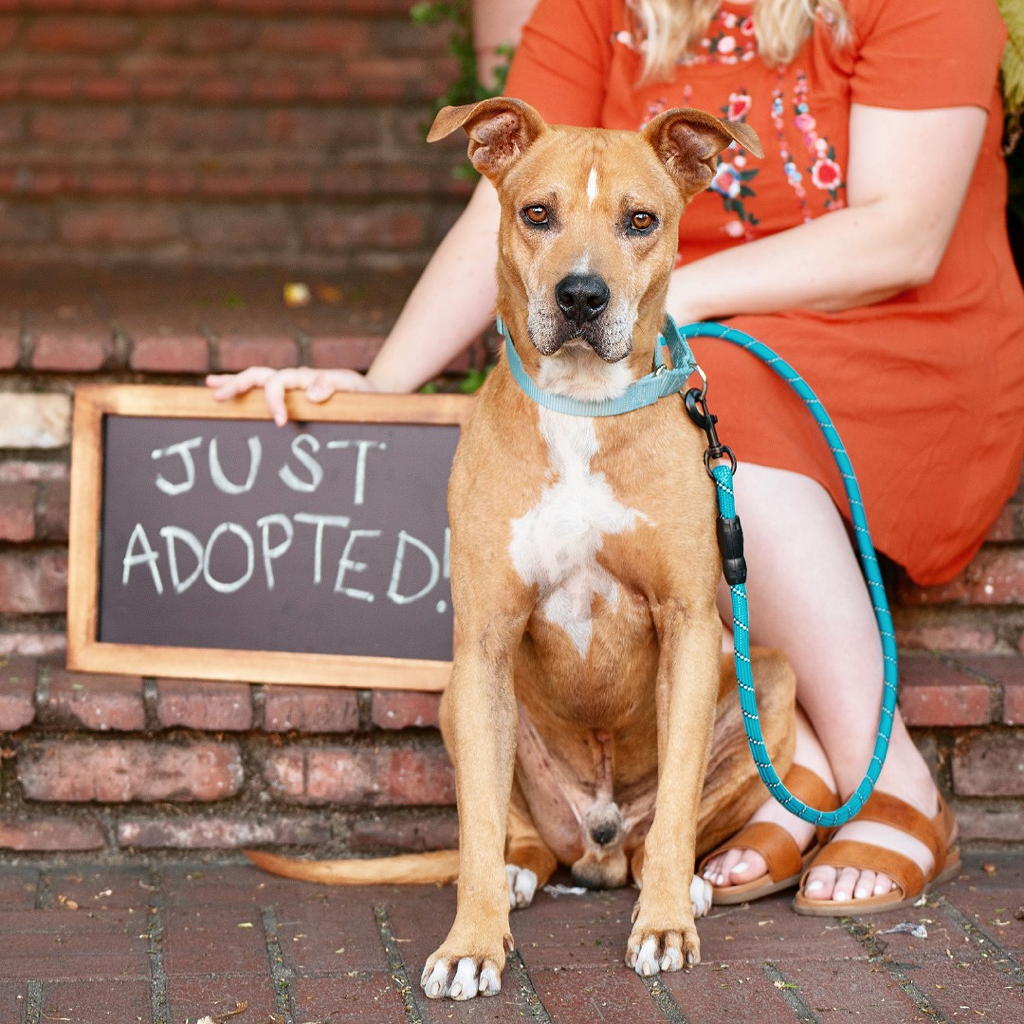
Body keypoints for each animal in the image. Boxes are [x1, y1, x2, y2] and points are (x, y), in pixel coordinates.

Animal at [245, 99, 790, 1003]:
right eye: (537, 213)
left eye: (641, 220)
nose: (582, 295)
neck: (581, 408)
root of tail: (597, 844)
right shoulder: (486, 639)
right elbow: (475, 828)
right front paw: (472, 943)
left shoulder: (686, 626)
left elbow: (678, 805)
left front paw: (664, 923)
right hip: (456, 697)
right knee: (517, 834)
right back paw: (514, 876)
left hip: (767, 679)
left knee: (660, 834)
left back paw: (688, 886)